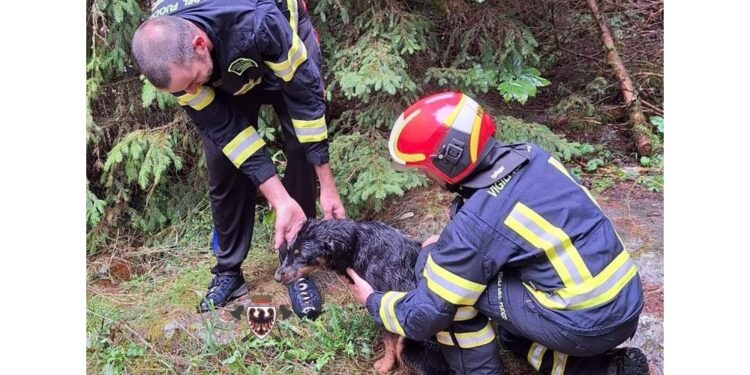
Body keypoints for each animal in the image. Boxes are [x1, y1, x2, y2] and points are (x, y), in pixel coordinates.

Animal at [278, 219, 450, 374]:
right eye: (288, 251)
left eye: (301, 257)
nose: (277, 277)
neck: (356, 245)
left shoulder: (384, 307)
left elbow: (389, 343)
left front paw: (385, 366)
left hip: (407, 347)